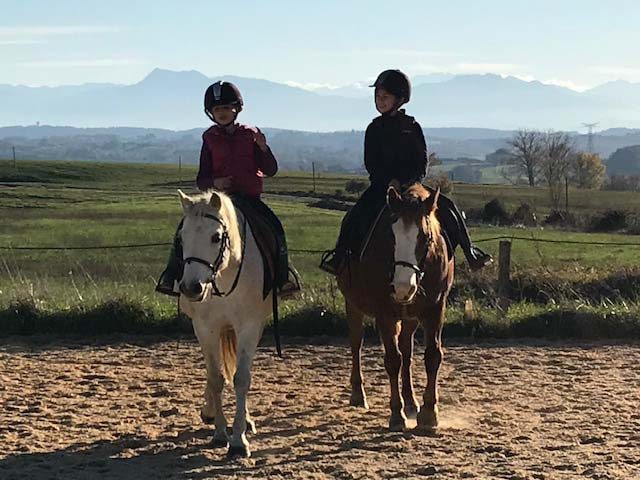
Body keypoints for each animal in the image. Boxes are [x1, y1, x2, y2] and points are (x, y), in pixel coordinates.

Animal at [176, 188, 272, 458]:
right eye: (182, 237)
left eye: (216, 237)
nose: (191, 287)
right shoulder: (204, 328)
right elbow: (216, 378)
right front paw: (219, 432)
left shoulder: (249, 326)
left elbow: (241, 378)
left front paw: (238, 440)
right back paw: (209, 412)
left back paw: (246, 420)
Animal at [336, 179, 456, 432]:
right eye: (391, 238)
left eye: (426, 238)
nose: (402, 288)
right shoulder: (385, 313)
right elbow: (392, 361)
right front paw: (396, 415)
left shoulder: (435, 309)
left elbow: (432, 356)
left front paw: (428, 414)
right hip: (353, 305)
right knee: (356, 343)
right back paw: (358, 394)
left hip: (410, 317)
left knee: (407, 351)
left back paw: (411, 402)